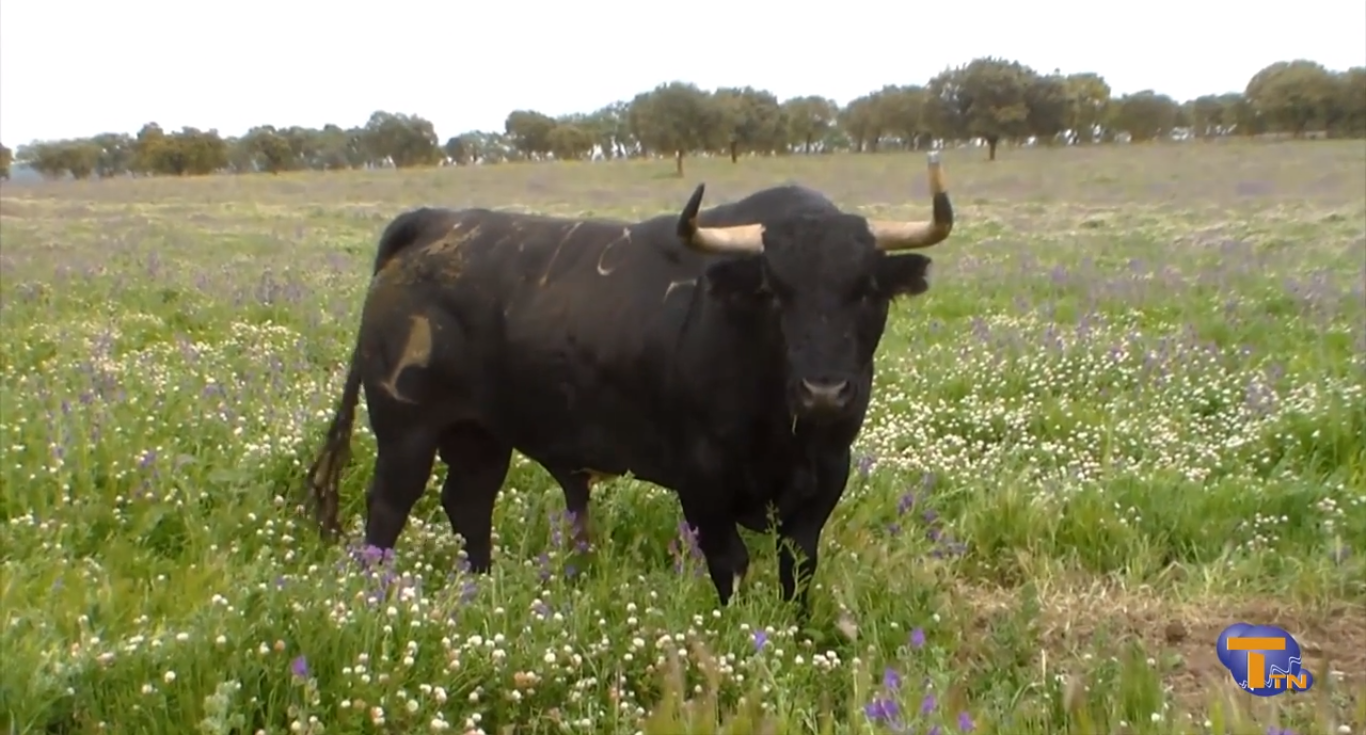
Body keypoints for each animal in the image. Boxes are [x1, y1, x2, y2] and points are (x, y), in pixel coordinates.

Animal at [305, 151, 956, 609]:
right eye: (776, 290)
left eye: (867, 290)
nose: (823, 392)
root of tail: (433, 222)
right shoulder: (701, 481)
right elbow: (731, 565)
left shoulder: (824, 482)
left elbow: (798, 572)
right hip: (405, 432)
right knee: (386, 514)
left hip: (480, 435)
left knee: (468, 504)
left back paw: (482, 593)